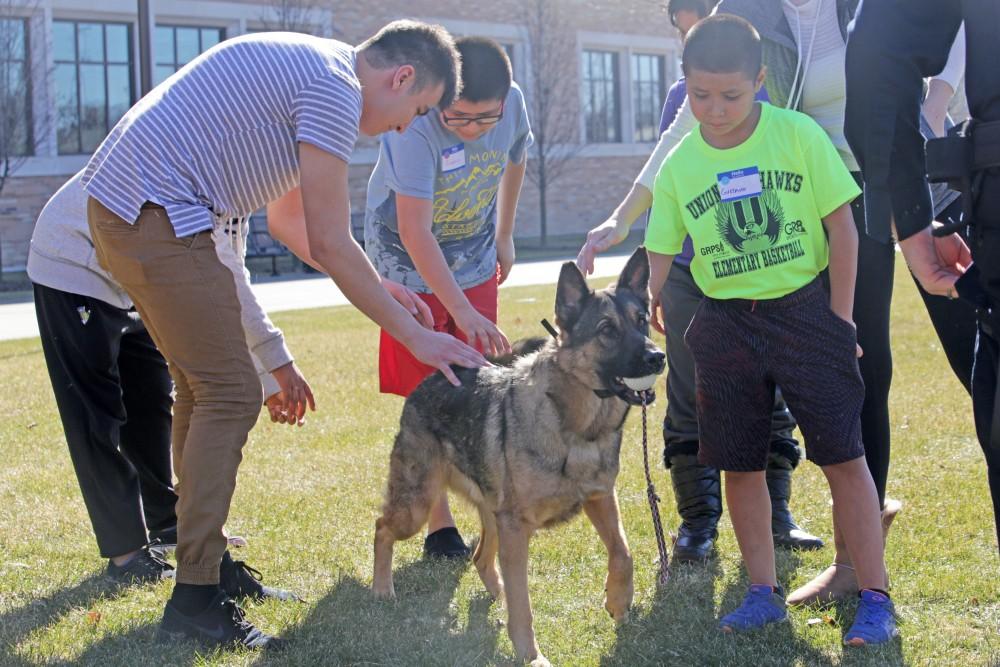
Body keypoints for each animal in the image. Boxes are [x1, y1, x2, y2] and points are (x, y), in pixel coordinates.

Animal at [374, 248, 664, 664]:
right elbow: (524, 605)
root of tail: (430, 380)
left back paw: (496, 596)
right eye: (607, 330)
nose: (658, 358)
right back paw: (383, 589)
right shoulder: (518, 528)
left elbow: (623, 553)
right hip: (417, 506)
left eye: (642, 322)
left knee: (481, 557)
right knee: (382, 528)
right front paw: (531, 654)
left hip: (491, 516)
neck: (575, 427)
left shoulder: (600, 499)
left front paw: (618, 601)